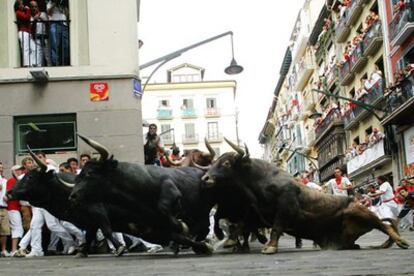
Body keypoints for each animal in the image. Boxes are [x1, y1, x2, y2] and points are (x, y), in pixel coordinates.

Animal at [68, 134, 213, 254]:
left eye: (90, 173)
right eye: (78, 176)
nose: (72, 196)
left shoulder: (171, 190)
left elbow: (165, 209)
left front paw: (185, 231)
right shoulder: (154, 225)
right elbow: (178, 236)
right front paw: (199, 245)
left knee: (204, 226)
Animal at [202, 140, 410, 254]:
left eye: (226, 163)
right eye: (214, 162)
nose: (205, 178)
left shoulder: (284, 208)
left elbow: (276, 228)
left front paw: (270, 247)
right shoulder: (256, 213)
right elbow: (242, 226)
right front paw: (229, 242)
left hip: (361, 211)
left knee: (384, 225)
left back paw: (402, 242)